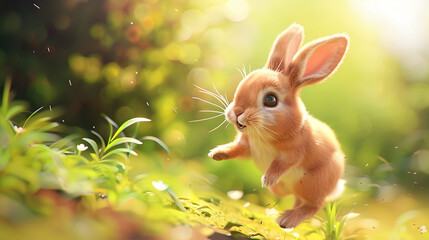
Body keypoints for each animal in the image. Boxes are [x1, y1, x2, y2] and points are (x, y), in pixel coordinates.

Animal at [207, 23, 348, 229]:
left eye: (270, 100)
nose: (236, 112)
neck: (262, 137)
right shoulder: (247, 146)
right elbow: (237, 150)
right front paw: (217, 154)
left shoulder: (295, 152)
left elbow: (281, 164)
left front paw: (267, 179)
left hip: (311, 185)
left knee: (314, 206)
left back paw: (286, 220)